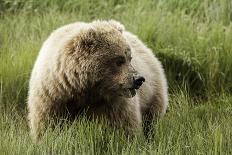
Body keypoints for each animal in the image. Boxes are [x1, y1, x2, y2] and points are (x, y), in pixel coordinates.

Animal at [27, 19, 169, 142]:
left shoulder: (114, 102)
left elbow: (122, 125)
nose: (138, 79)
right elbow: (48, 124)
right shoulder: (52, 95)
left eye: (130, 58)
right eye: (119, 60)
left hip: (153, 92)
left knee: (152, 119)